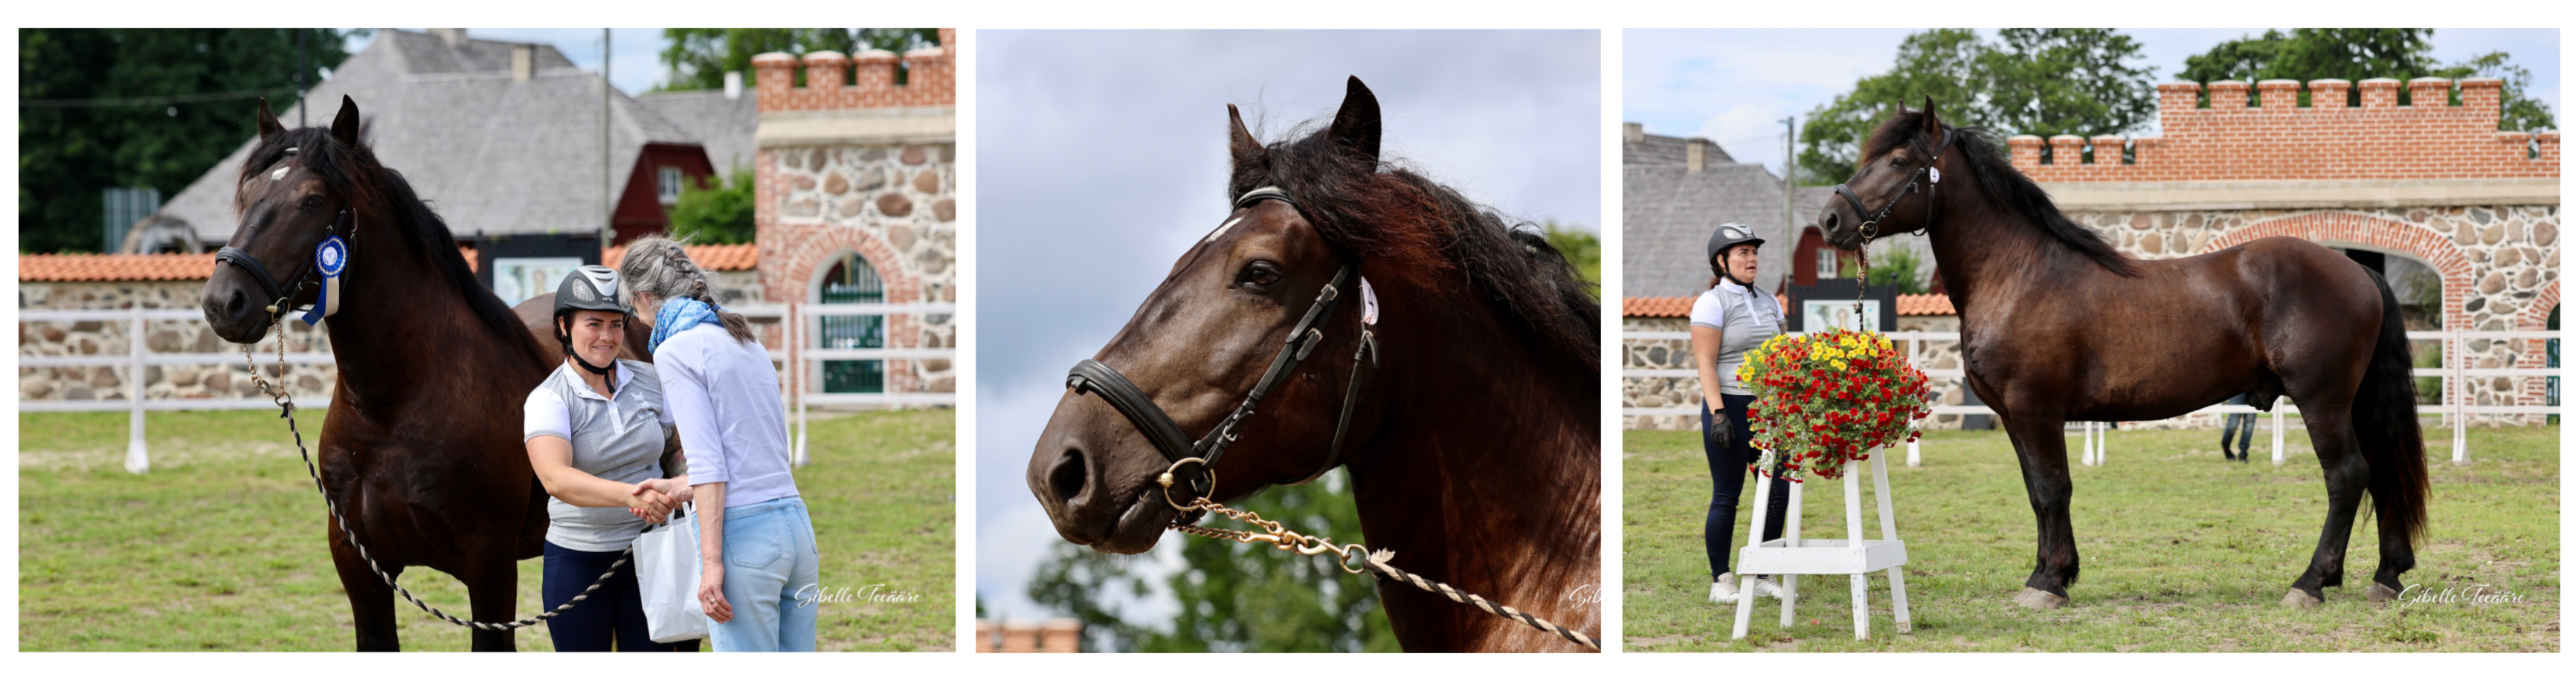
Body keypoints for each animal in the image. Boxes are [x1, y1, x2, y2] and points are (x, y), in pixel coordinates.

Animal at [201, 97, 558, 650]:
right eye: (249, 193)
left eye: (312, 201)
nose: (223, 301)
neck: (392, 408)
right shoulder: (359, 565)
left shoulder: (491, 568)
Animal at [1823, 100, 2421, 609]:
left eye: (1899, 161)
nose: (1831, 220)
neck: (2018, 273)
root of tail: (2359, 269)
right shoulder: (2014, 416)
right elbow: (2037, 494)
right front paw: (2047, 572)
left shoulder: (2037, 410)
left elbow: (2054, 488)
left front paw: (2050, 581)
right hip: (2351, 402)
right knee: (2379, 471)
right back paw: (2386, 575)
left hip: (2322, 400)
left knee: (2346, 475)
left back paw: (2311, 582)